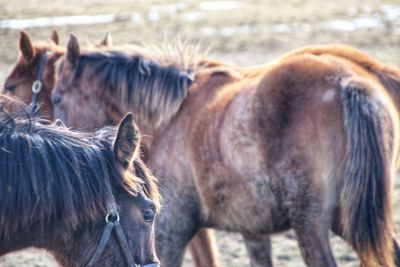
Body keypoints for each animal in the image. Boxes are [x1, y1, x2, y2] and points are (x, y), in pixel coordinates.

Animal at [53, 34, 400, 266]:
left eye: (57, 96)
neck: (171, 116)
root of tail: (347, 81)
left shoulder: (169, 231)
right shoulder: (253, 230)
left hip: (311, 223)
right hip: (348, 218)